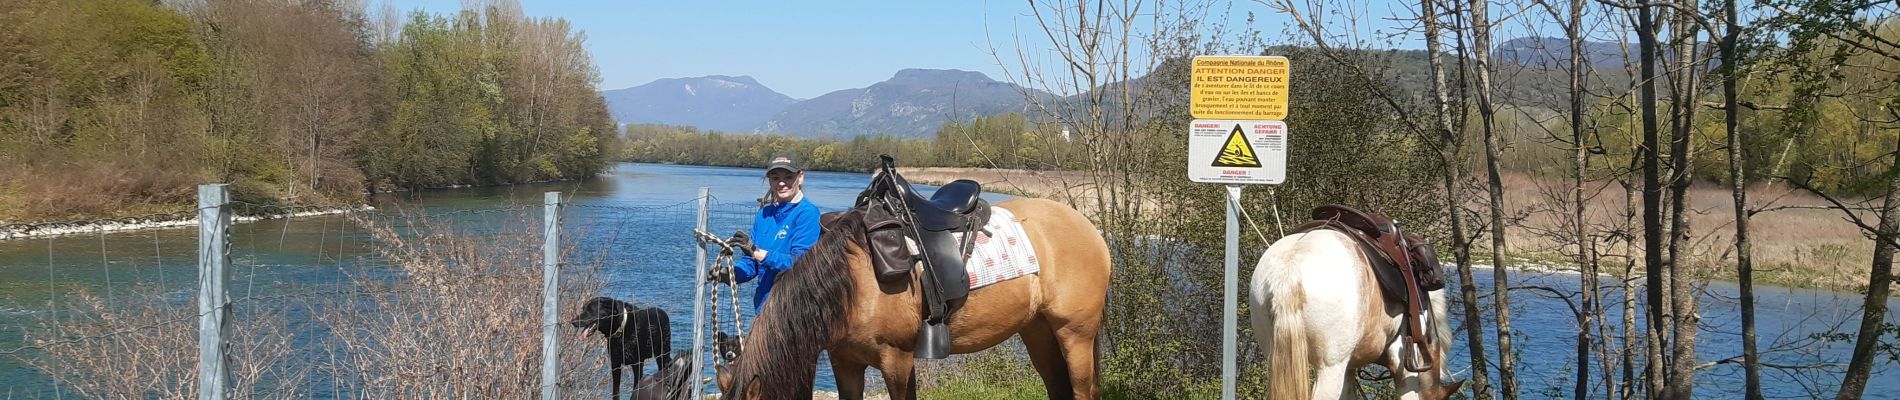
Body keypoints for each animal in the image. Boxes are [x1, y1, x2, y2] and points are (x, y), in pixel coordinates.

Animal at [714, 198, 1109, 400]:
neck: (853, 284)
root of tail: (1087, 227)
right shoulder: (845, 362)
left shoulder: (897, 359)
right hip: (1038, 332)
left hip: (1076, 333)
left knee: (1081, 390)